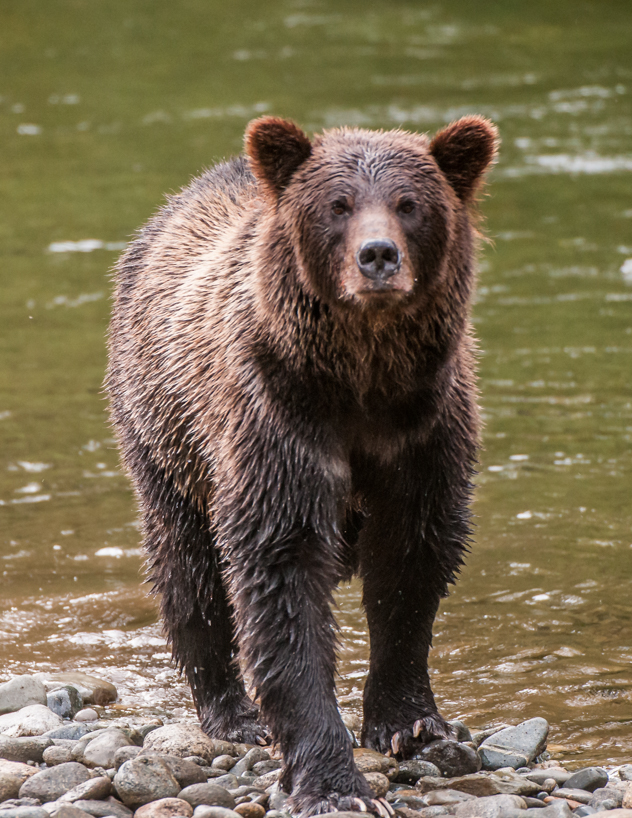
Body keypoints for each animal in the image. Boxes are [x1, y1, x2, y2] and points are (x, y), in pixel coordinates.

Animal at [106, 114, 498, 817]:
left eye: (410, 204)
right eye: (337, 205)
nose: (378, 256)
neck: (360, 381)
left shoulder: (426, 429)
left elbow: (414, 561)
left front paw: (413, 723)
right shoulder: (278, 421)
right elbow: (281, 580)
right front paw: (336, 783)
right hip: (165, 432)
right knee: (188, 566)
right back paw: (232, 711)